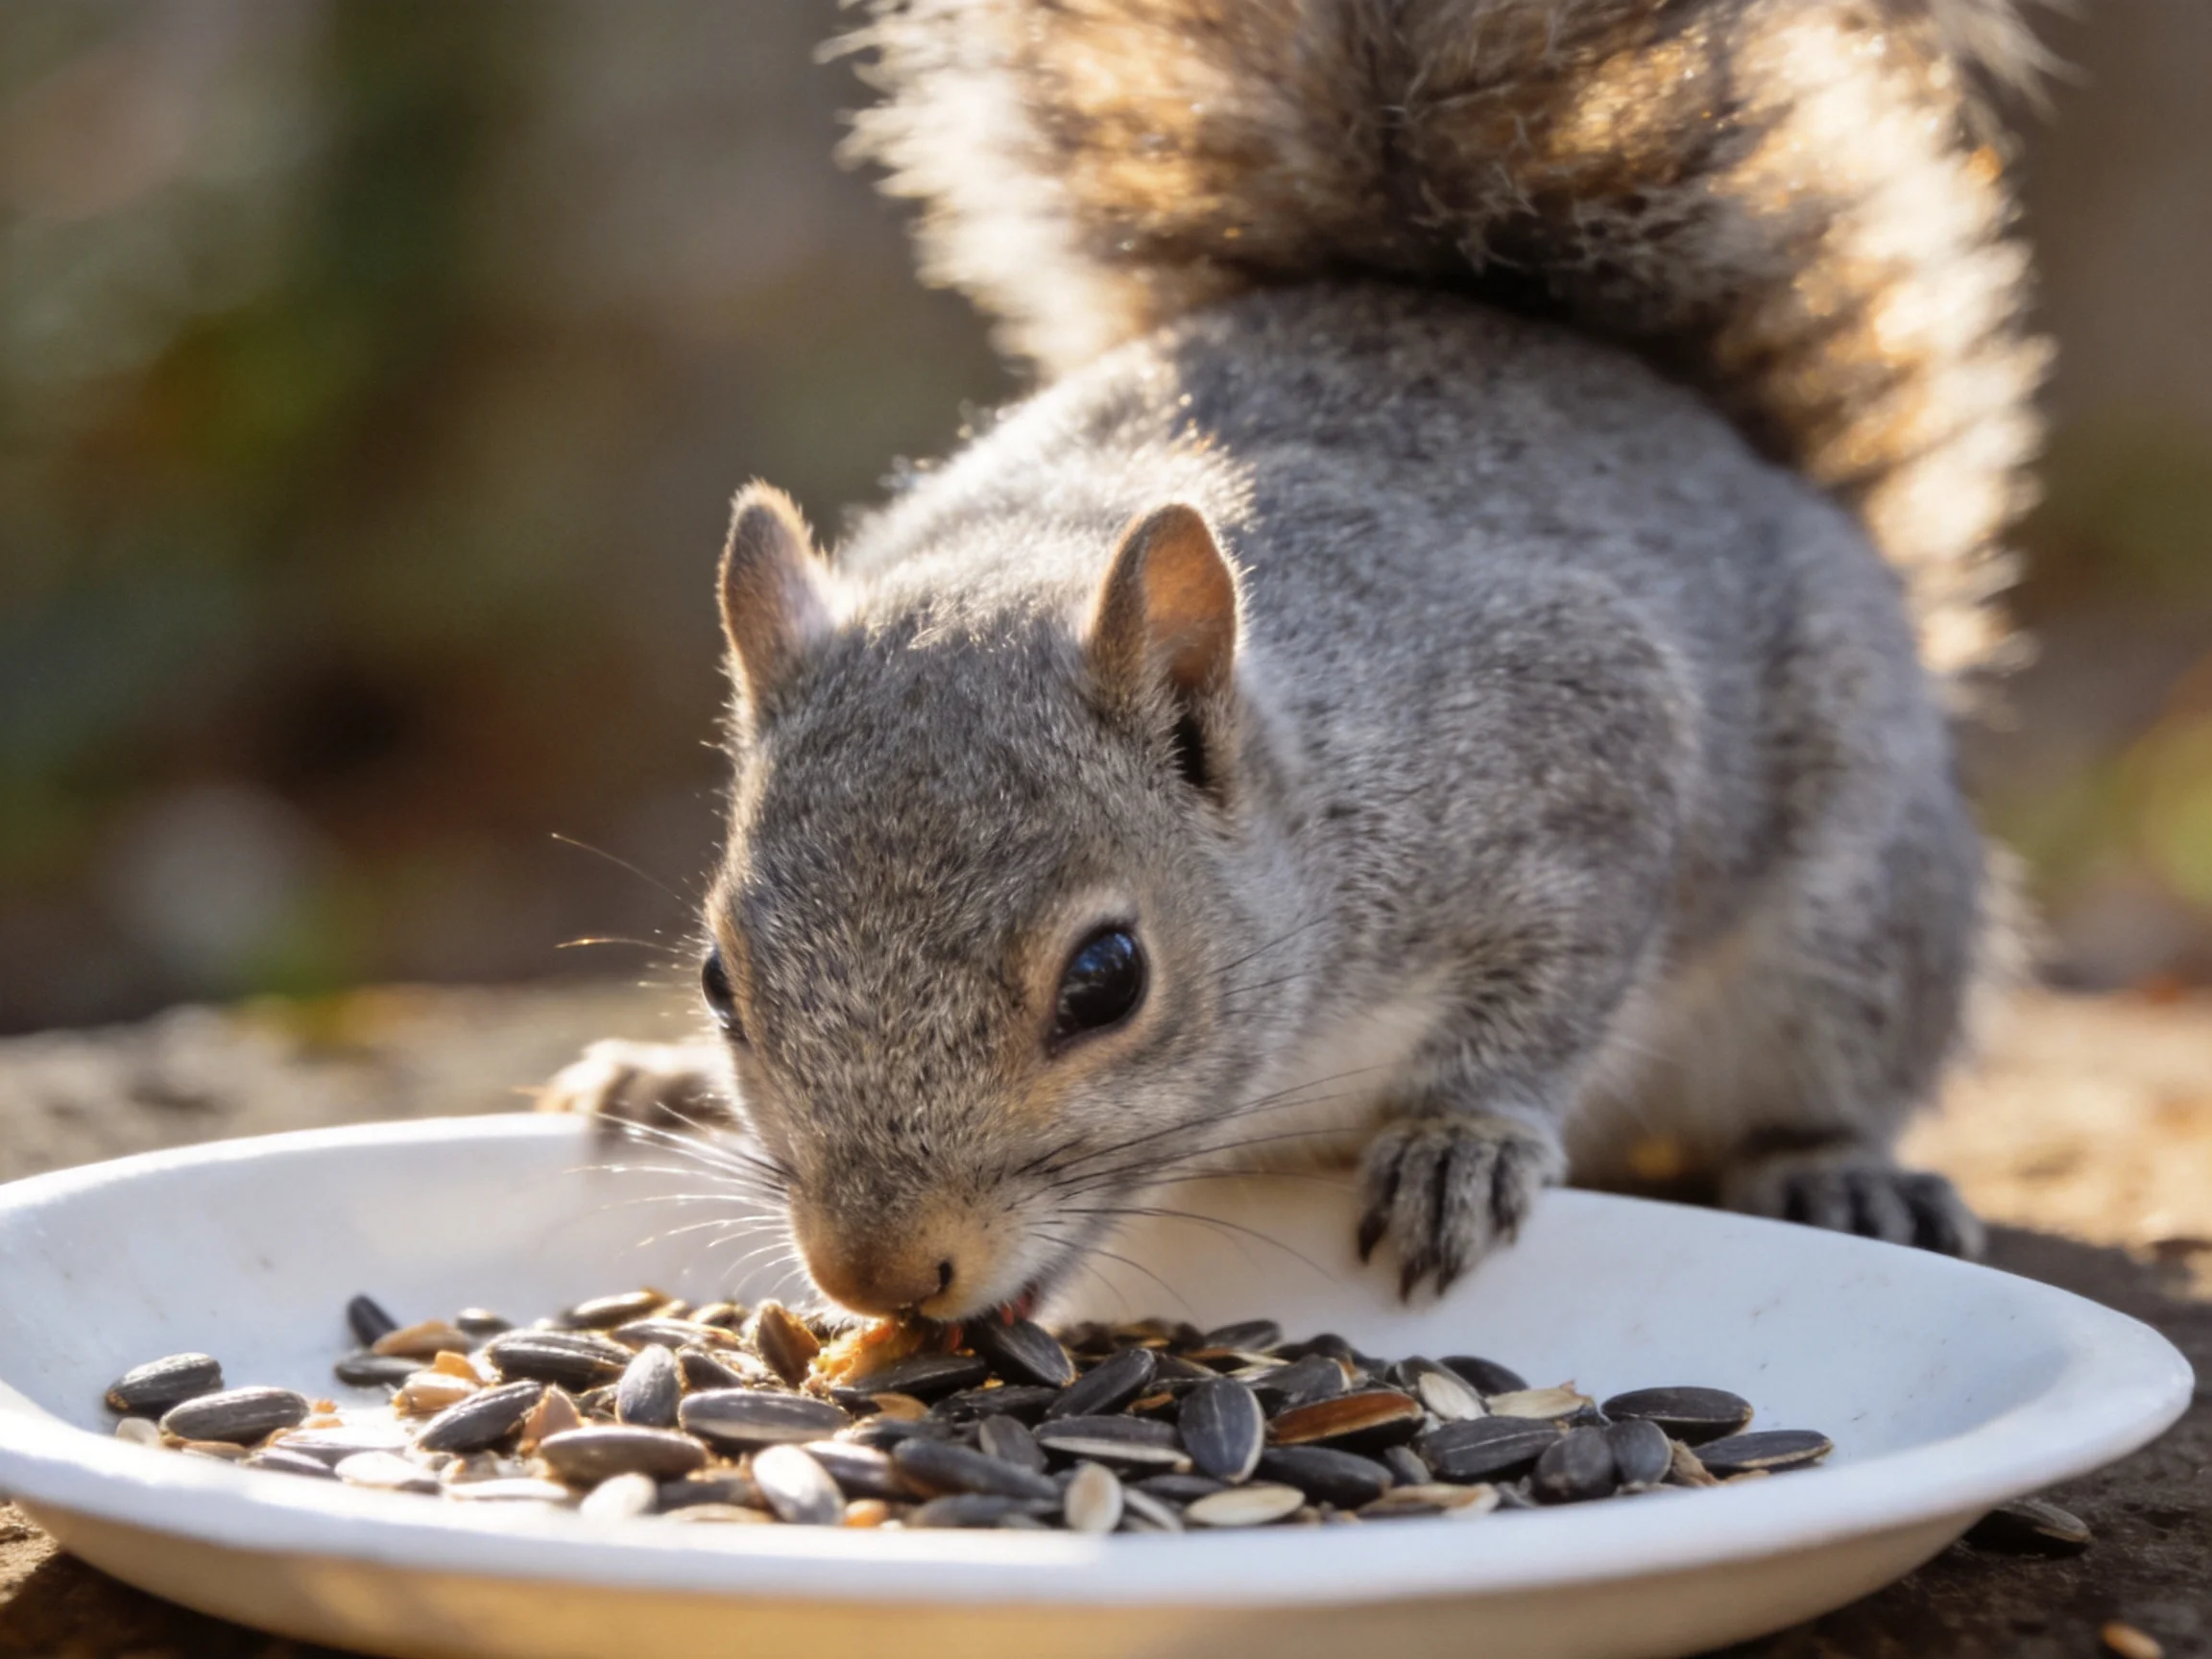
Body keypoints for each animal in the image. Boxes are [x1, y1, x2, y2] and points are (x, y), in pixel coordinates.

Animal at [540, 0, 2052, 1320]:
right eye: (718, 979)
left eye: (1108, 979)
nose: (880, 1274)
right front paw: (670, 1072)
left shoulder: (1577, 743)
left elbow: (1559, 980)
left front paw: (1462, 1141)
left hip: (1856, 921)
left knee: (1841, 1059)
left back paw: (1836, 1169)